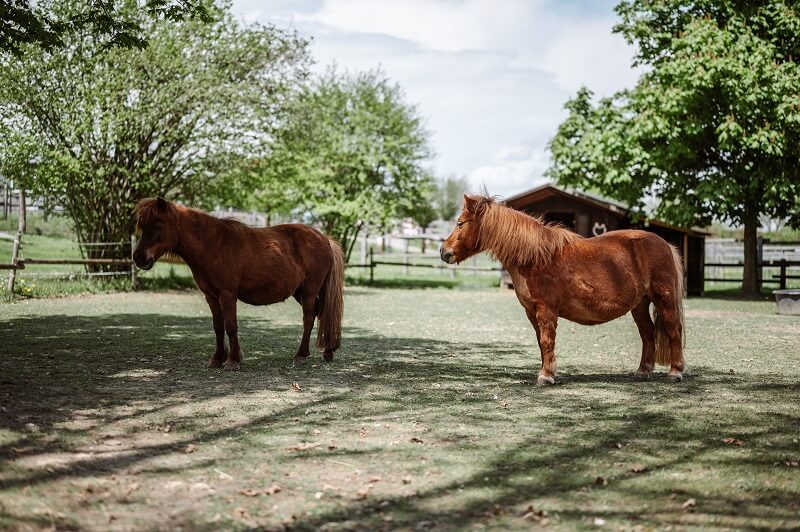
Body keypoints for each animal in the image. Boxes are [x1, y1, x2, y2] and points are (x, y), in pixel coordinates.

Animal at [132, 197, 344, 368]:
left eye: (158, 224)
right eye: (142, 225)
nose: (139, 258)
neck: (213, 245)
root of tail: (324, 239)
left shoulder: (227, 295)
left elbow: (230, 326)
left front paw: (233, 360)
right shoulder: (211, 296)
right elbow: (218, 327)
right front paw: (217, 359)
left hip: (309, 291)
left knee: (309, 318)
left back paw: (301, 355)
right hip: (299, 292)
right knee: (320, 313)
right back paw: (327, 351)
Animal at [440, 193, 684, 384]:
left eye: (460, 223)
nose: (444, 251)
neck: (535, 257)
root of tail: (665, 244)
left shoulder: (546, 310)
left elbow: (547, 341)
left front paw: (546, 376)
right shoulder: (532, 312)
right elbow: (541, 342)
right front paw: (547, 372)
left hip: (664, 299)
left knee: (673, 331)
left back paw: (675, 372)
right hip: (640, 304)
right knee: (647, 333)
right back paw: (643, 371)